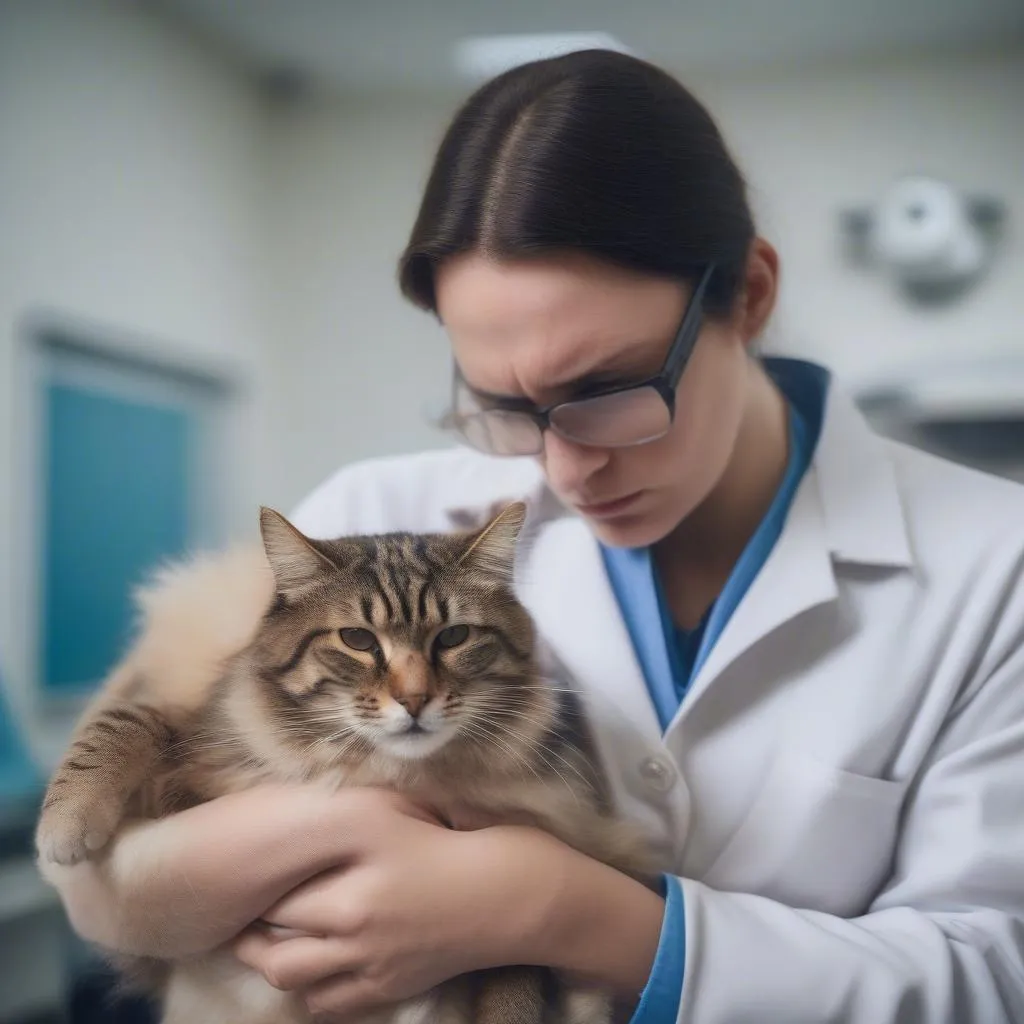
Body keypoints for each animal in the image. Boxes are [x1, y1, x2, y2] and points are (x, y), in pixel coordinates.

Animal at [37, 501, 655, 1024]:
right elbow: (120, 725)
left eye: (453, 636)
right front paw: (64, 827)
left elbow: (514, 985)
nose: (414, 700)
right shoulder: (185, 738)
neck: (398, 772)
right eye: (358, 640)